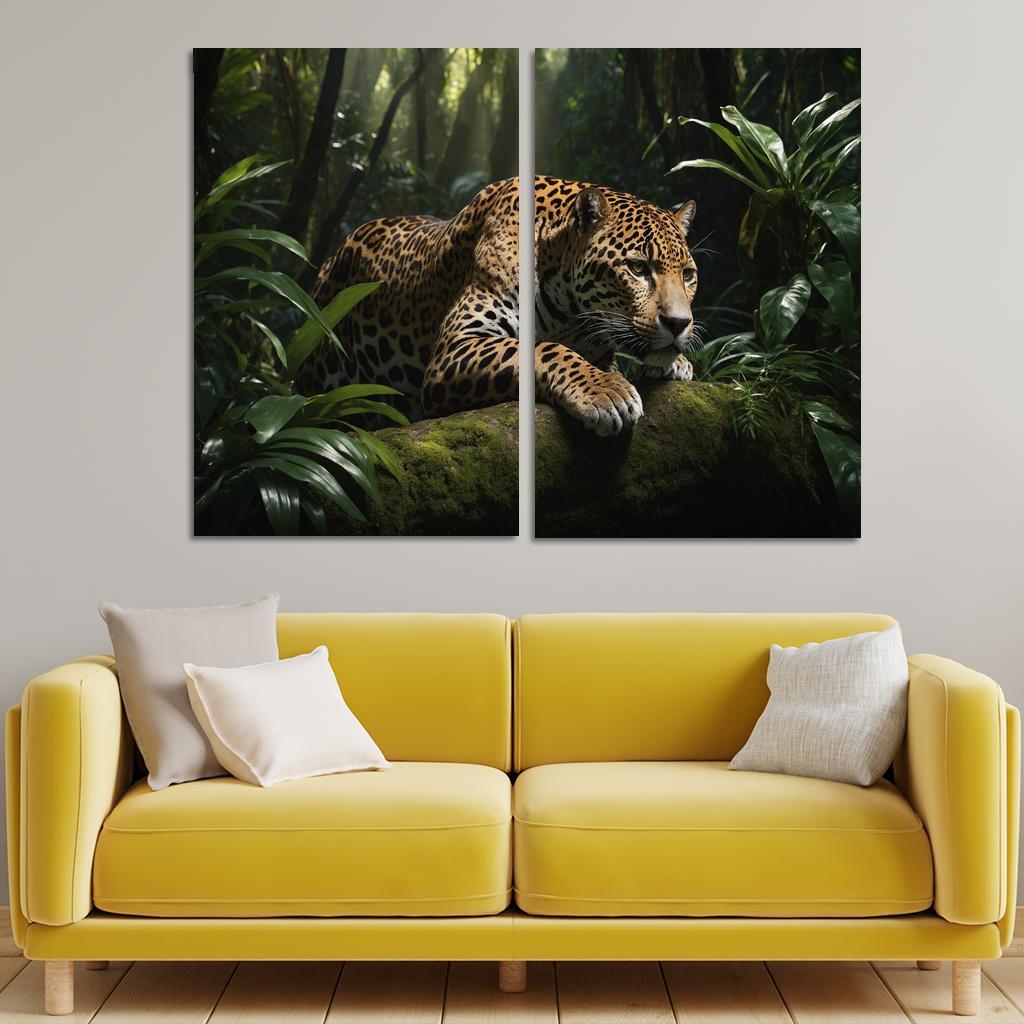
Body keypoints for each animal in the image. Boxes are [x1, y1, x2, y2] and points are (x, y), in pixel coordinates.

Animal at [299, 176, 698, 438]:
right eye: (638, 268)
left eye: (689, 274)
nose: (679, 323)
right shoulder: (456, 346)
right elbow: (544, 348)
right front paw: (605, 391)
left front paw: (675, 363)